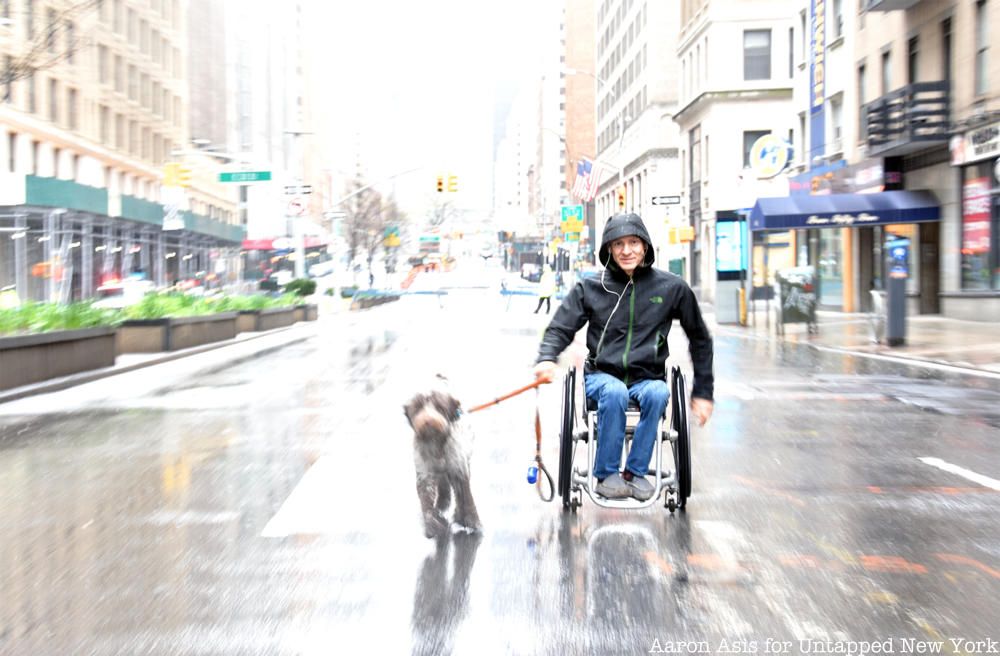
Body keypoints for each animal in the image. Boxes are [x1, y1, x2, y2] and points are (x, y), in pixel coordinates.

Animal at [406, 380, 484, 540]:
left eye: (439, 407)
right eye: (418, 407)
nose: (428, 421)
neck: (436, 441)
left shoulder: (458, 467)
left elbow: (465, 495)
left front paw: (472, 522)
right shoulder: (424, 472)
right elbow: (425, 497)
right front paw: (431, 525)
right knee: (443, 484)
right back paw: (443, 501)